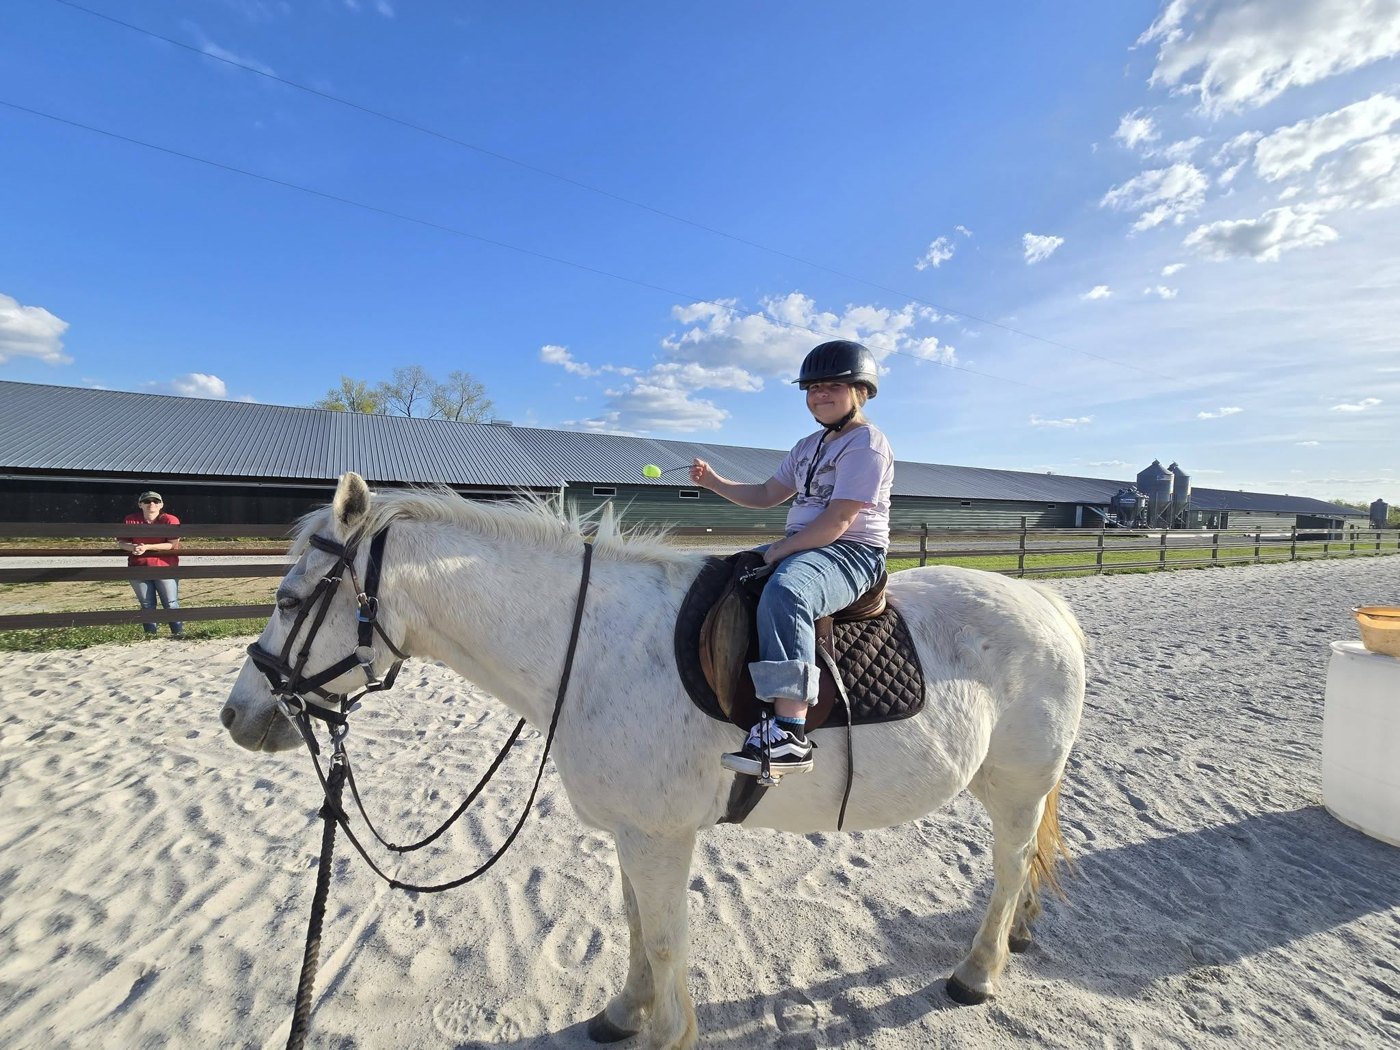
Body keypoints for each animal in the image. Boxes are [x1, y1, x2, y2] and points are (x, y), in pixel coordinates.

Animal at [221, 472, 1086, 1050]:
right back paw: (1018, 937)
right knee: (1022, 869)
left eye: (289, 602)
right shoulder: (631, 835)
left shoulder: (661, 838)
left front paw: (662, 1029)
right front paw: (623, 1012)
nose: (237, 715)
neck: (591, 648)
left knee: (1009, 867)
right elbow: (636, 923)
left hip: (1016, 786)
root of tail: (1048, 603)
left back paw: (979, 972)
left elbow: (666, 940)